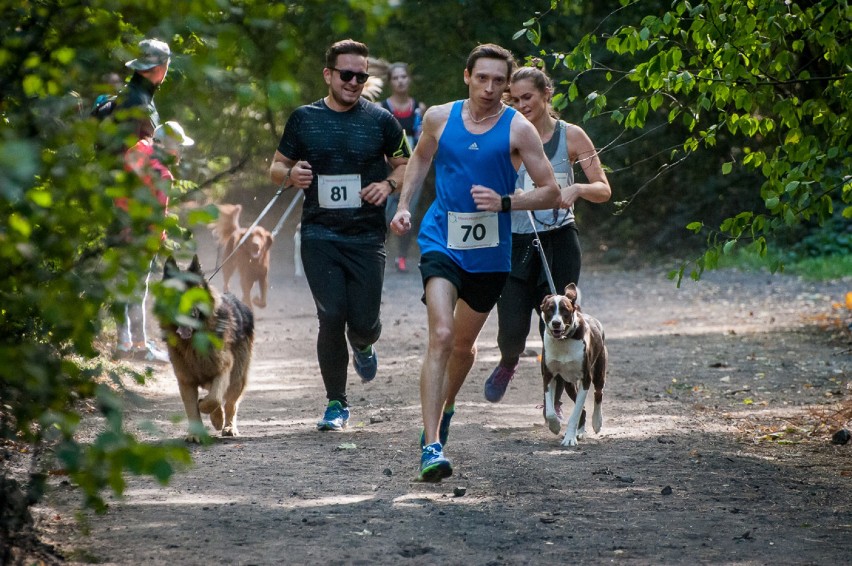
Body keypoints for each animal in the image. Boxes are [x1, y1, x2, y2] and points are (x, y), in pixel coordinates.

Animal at [158, 256, 255, 444]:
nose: (186, 313)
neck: (194, 342)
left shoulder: (223, 369)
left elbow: (213, 399)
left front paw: (212, 414)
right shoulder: (186, 381)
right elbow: (193, 408)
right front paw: (195, 433)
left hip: (237, 377)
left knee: (230, 403)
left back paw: (228, 426)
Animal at [540, 284, 604, 448]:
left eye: (565, 310)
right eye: (549, 309)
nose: (556, 323)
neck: (563, 341)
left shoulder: (586, 379)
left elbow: (575, 413)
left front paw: (569, 438)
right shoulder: (549, 375)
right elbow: (550, 410)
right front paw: (555, 426)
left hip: (599, 372)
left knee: (598, 394)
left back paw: (596, 422)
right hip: (568, 384)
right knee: (583, 409)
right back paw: (580, 432)